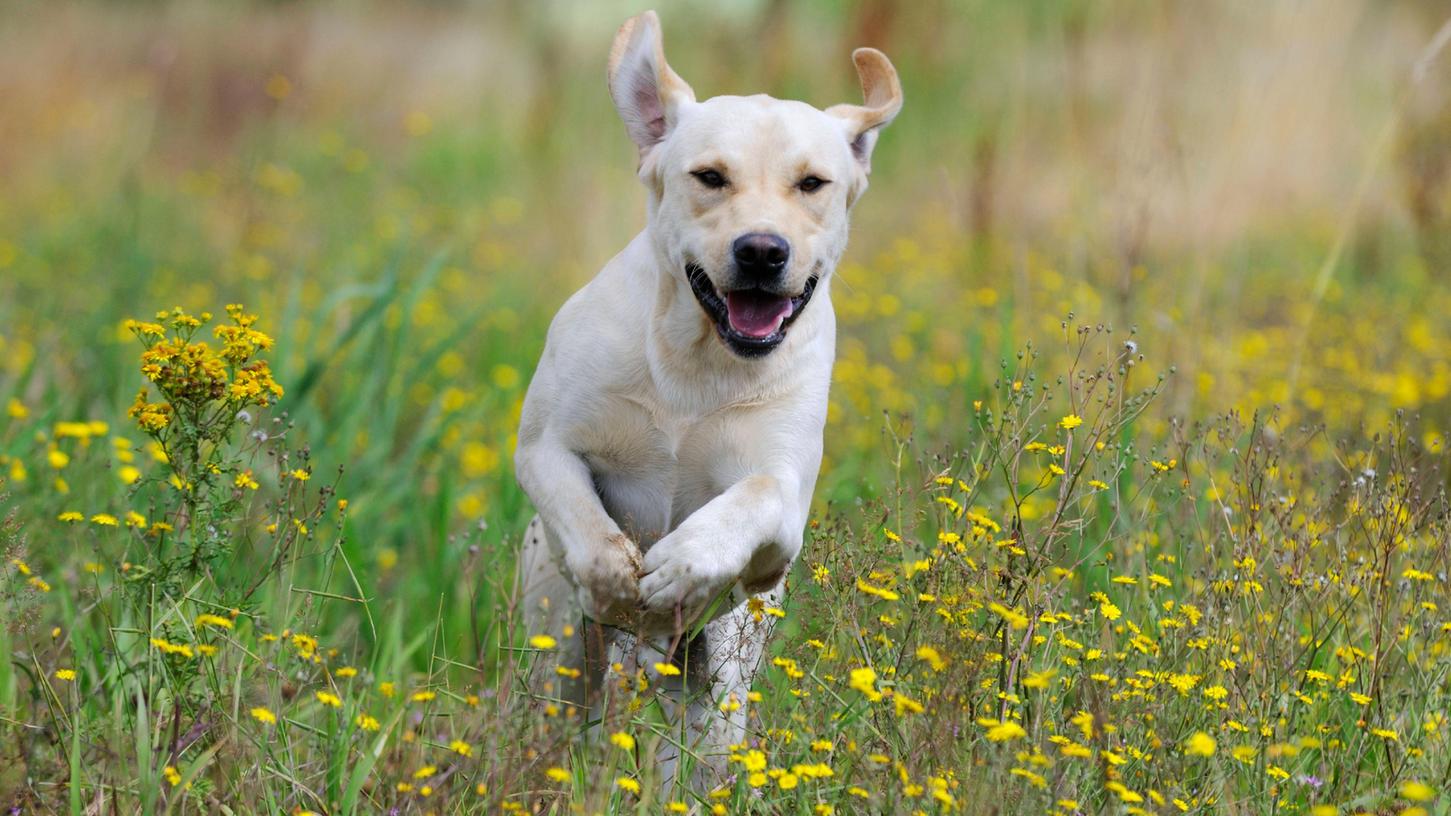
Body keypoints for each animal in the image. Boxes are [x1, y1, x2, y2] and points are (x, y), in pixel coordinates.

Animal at [510, 6, 893, 784]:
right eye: (710, 177)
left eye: (812, 183)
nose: (762, 250)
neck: (698, 362)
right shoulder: (544, 448)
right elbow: (587, 526)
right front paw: (623, 584)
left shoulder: (782, 500)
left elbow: (749, 501)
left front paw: (679, 570)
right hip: (554, 653)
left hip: (717, 692)